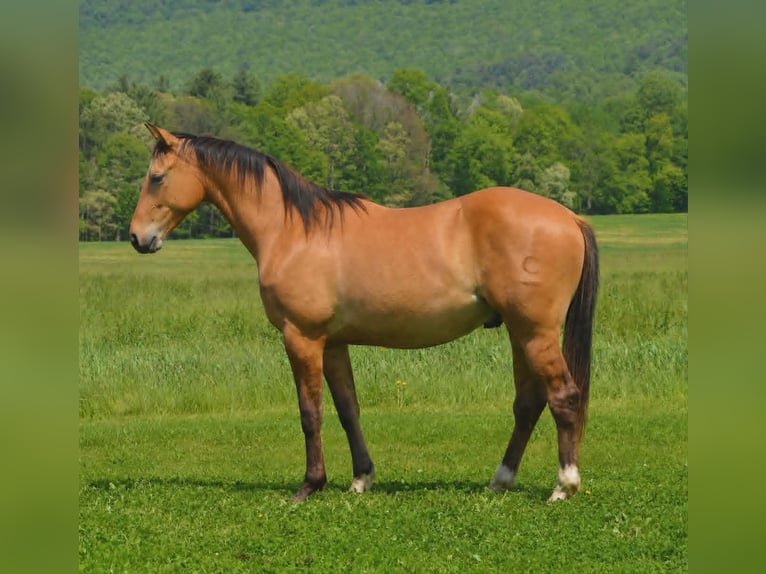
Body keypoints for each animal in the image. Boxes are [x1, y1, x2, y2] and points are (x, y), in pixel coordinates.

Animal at [129, 123, 599, 502]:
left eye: (156, 177)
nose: (137, 238)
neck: (294, 231)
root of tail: (569, 217)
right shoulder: (334, 343)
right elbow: (347, 409)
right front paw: (361, 479)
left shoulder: (301, 337)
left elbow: (310, 412)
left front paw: (310, 485)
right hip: (520, 333)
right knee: (528, 403)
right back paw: (500, 481)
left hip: (536, 332)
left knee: (563, 397)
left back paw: (564, 486)